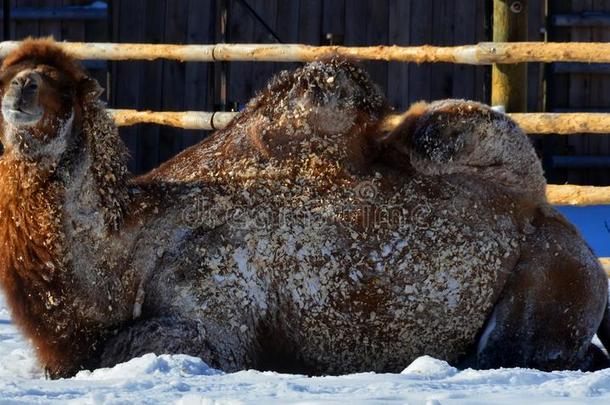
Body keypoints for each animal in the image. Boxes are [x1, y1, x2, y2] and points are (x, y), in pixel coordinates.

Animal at [1, 39, 608, 378]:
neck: (128, 246)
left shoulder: (215, 314)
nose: (18, 92)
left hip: (544, 295)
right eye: (9, 72)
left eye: (56, 83)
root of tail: (553, 218)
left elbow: (120, 349)